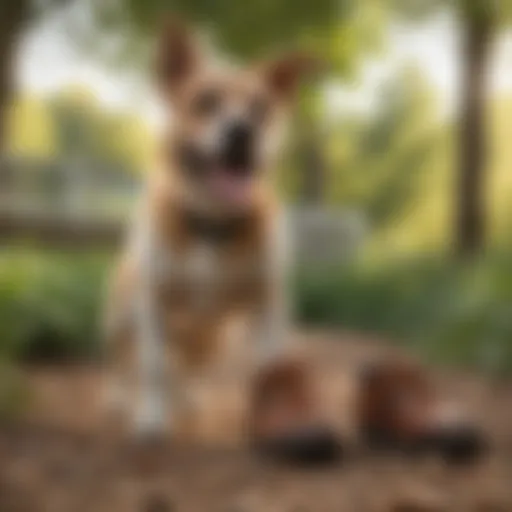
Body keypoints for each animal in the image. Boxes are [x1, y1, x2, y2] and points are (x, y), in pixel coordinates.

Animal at [103, 17, 316, 440]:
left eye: (260, 108)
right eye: (205, 101)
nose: (242, 131)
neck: (212, 225)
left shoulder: (267, 304)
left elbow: (271, 371)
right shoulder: (153, 303)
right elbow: (153, 366)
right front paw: (151, 418)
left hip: (210, 338)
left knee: (189, 367)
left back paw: (188, 400)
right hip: (121, 316)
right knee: (127, 360)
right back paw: (122, 397)